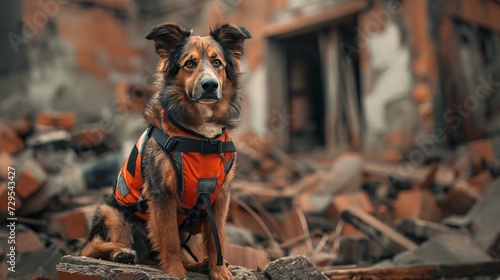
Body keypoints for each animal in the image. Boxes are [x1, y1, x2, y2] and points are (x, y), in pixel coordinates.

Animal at [81, 22, 250, 280]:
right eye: (190, 63)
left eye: (217, 62)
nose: (210, 85)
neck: (201, 137)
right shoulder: (162, 193)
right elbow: (169, 239)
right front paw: (175, 273)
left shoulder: (220, 196)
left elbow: (217, 238)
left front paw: (219, 271)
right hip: (112, 214)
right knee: (92, 248)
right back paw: (121, 253)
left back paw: (199, 264)